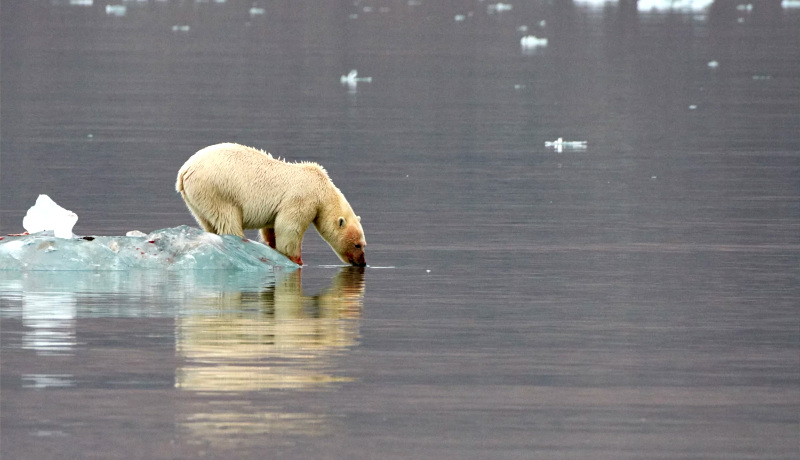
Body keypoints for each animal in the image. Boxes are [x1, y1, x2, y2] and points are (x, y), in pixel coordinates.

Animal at [177, 143, 368, 266]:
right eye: (357, 245)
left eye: (363, 244)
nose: (362, 263)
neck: (322, 188)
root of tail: (184, 171)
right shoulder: (302, 198)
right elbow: (289, 229)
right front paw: (297, 260)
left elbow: (272, 229)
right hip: (218, 190)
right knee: (228, 219)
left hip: (197, 200)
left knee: (208, 221)